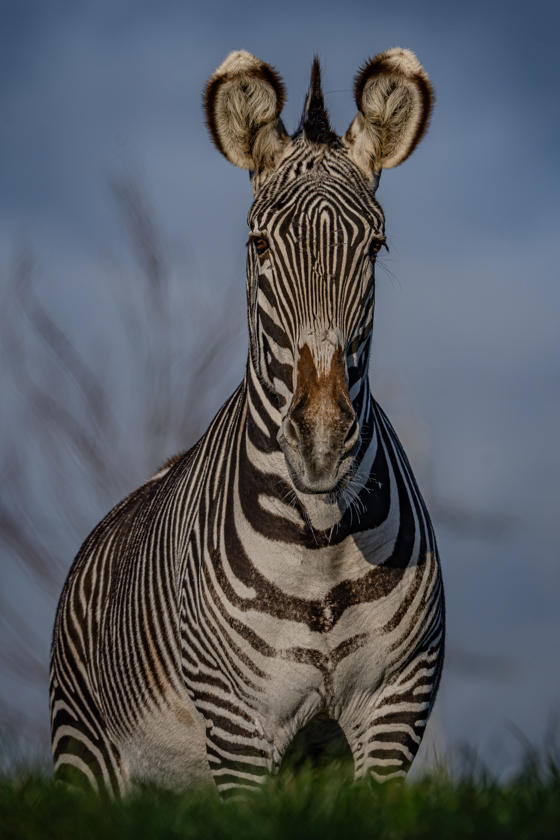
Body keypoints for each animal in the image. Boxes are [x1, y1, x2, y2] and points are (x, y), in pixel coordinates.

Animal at [50, 47, 444, 796]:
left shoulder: (394, 712)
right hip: (85, 748)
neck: (322, 541)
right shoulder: (239, 727)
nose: (321, 443)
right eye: (258, 244)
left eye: (376, 247)